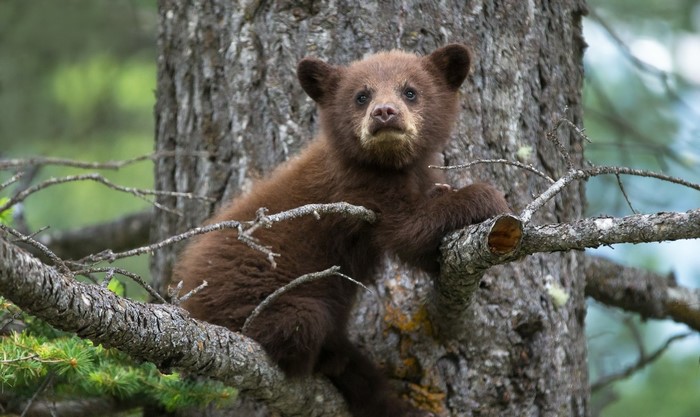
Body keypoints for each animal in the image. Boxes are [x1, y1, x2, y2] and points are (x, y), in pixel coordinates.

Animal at [174, 44, 509, 417]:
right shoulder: (357, 189)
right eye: (361, 96)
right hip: (250, 298)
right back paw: (326, 360)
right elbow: (409, 229)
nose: (385, 113)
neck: (391, 165)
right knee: (301, 323)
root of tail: (189, 298)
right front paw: (487, 196)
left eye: (410, 91)